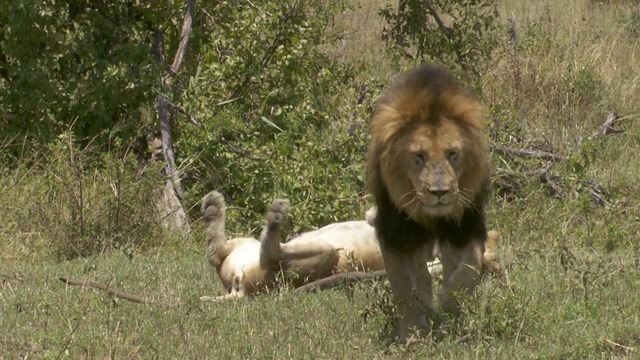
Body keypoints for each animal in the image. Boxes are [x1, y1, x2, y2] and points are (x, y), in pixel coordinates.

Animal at [200, 191, 500, 300]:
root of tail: (239, 290)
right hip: (242, 245)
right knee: (217, 253)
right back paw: (213, 207)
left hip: (326, 255)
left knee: (269, 255)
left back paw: (275, 216)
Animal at [364, 64, 490, 344]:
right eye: (418, 156)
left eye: (452, 154)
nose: (439, 192)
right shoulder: (396, 233)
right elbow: (403, 287)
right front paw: (412, 333)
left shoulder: (465, 225)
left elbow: (470, 268)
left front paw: (452, 303)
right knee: (420, 275)